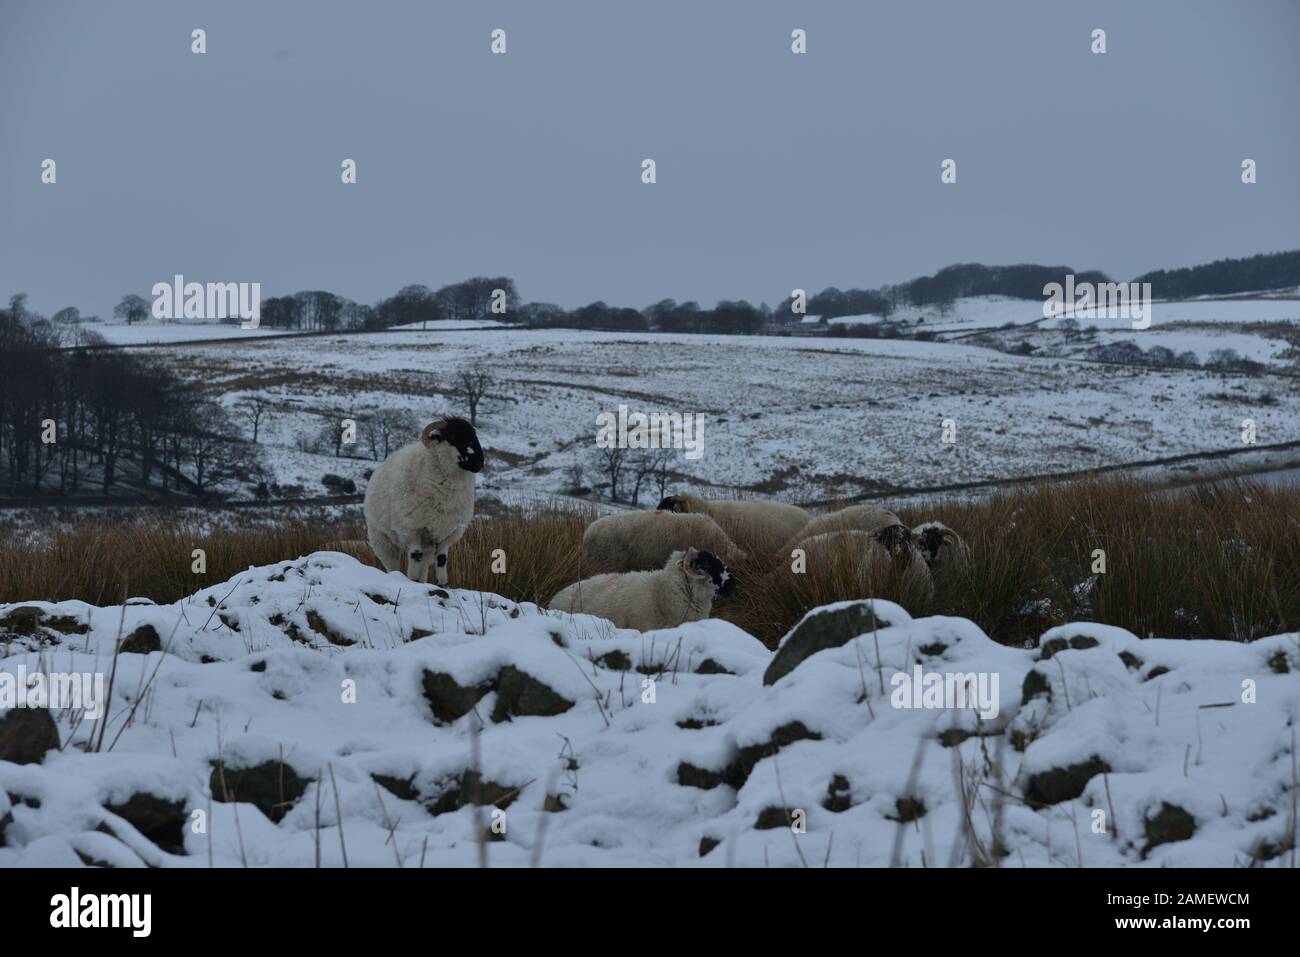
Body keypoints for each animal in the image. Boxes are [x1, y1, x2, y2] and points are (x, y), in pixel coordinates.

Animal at [364, 416, 486, 587]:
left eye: (474, 435)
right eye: (453, 436)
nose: (479, 462)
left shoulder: (447, 533)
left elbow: (441, 560)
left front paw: (443, 585)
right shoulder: (412, 529)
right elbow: (415, 556)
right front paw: (412, 582)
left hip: (428, 545)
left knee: (424, 566)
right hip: (382, 539)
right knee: (393, 564)